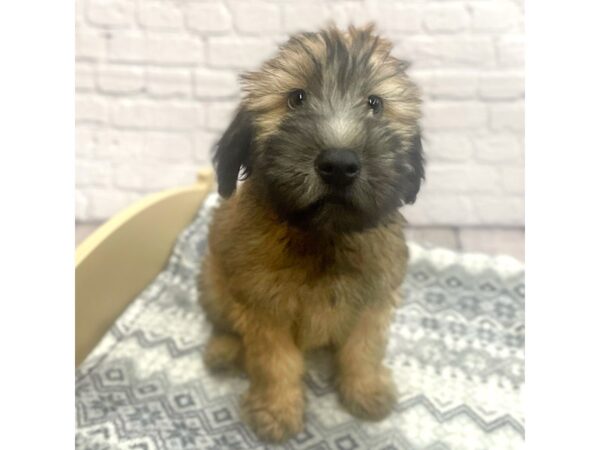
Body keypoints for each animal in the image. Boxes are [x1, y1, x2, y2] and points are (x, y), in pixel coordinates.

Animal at [199, 24, 424, 442]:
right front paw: (276, 411)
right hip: (213, 281)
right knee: (223, 322)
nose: (339, 164)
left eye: (375, 103)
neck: (323, 237)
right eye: (296, 98)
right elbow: (275, 363)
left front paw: (365, 389)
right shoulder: (265, 310)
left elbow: (364, 349)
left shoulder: (373, 300)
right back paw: (223, 350)